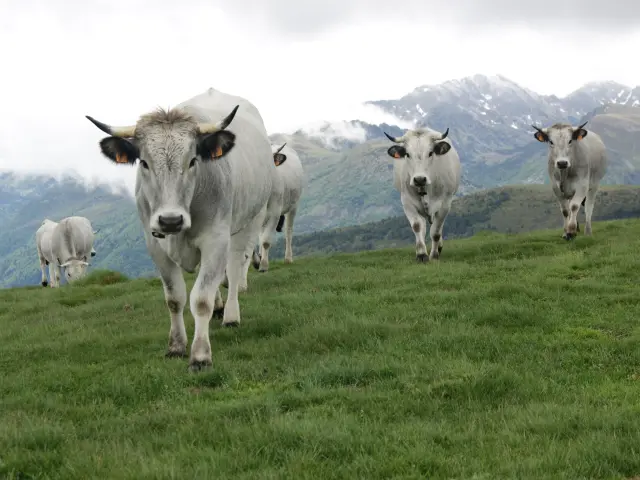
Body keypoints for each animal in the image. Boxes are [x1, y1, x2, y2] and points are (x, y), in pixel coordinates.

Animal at [85, 87, 277, 371]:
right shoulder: (155, 245)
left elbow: (201, 298)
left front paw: (200, 355)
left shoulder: (215, 239)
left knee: (233, 268)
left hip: (250, 220)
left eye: (193, 161)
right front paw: (176, 346)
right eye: (144, 163)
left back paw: (230, 315)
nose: (170, 220)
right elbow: (175, 298)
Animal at [383, 127, 461, 262]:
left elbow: (436, 232)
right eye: (407, 154)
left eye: (430, 153)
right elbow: (417, 226)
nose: (419, 179)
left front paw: (434, 255)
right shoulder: (407, 202)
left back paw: (439, 248)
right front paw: (421, 254)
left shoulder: (445, 203)